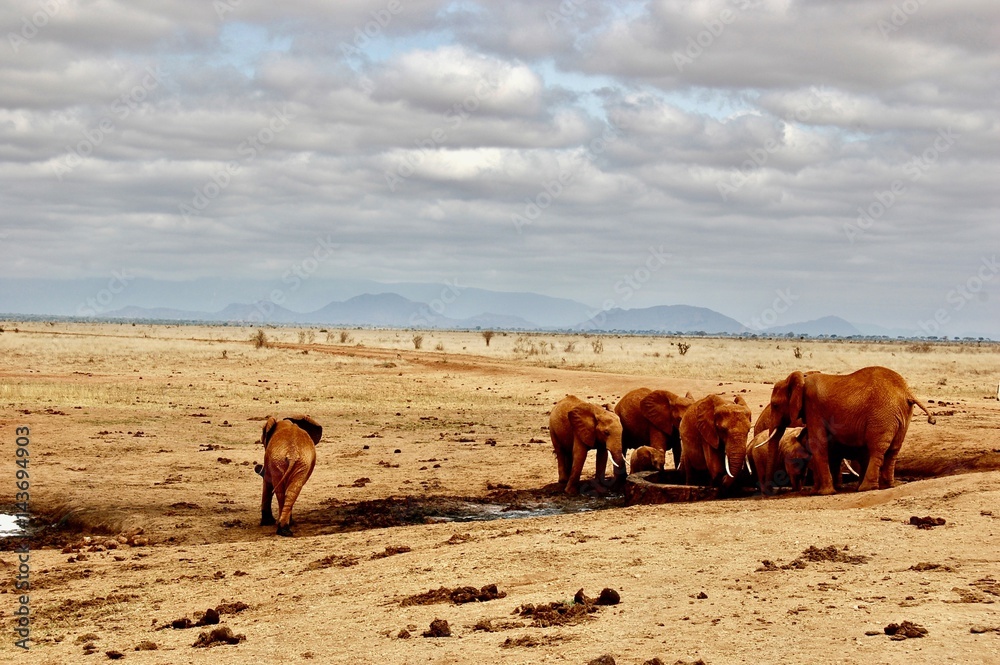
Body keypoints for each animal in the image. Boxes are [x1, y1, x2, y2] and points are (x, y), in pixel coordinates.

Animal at [764, 368, 936, 492]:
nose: (768, 492)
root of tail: (907, 392)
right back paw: (887, 486)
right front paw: (818, 491)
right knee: (893, 449)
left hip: (882, 415)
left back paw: (866, 488)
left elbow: (818, 444)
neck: (803, 378)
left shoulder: (813, 407)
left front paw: (824, 492)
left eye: (775, 405)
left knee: (876, 449)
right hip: (901, 416)